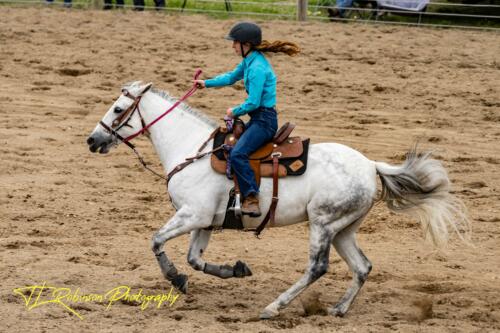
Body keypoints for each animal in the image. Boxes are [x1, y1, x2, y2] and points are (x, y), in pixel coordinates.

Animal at [87, 81, 468, 318]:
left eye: (118, 108)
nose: (92, 140)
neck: (191, 149)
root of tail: (371, 165)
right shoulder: (206, 220)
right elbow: (195, 259)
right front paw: (234, 270)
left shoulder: (192, 215)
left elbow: (156, 241)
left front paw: (175, 279)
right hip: (343, 229)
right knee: (362, 267)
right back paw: (339, 309)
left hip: (322, 224)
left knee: (317, 267)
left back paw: (274, 307)